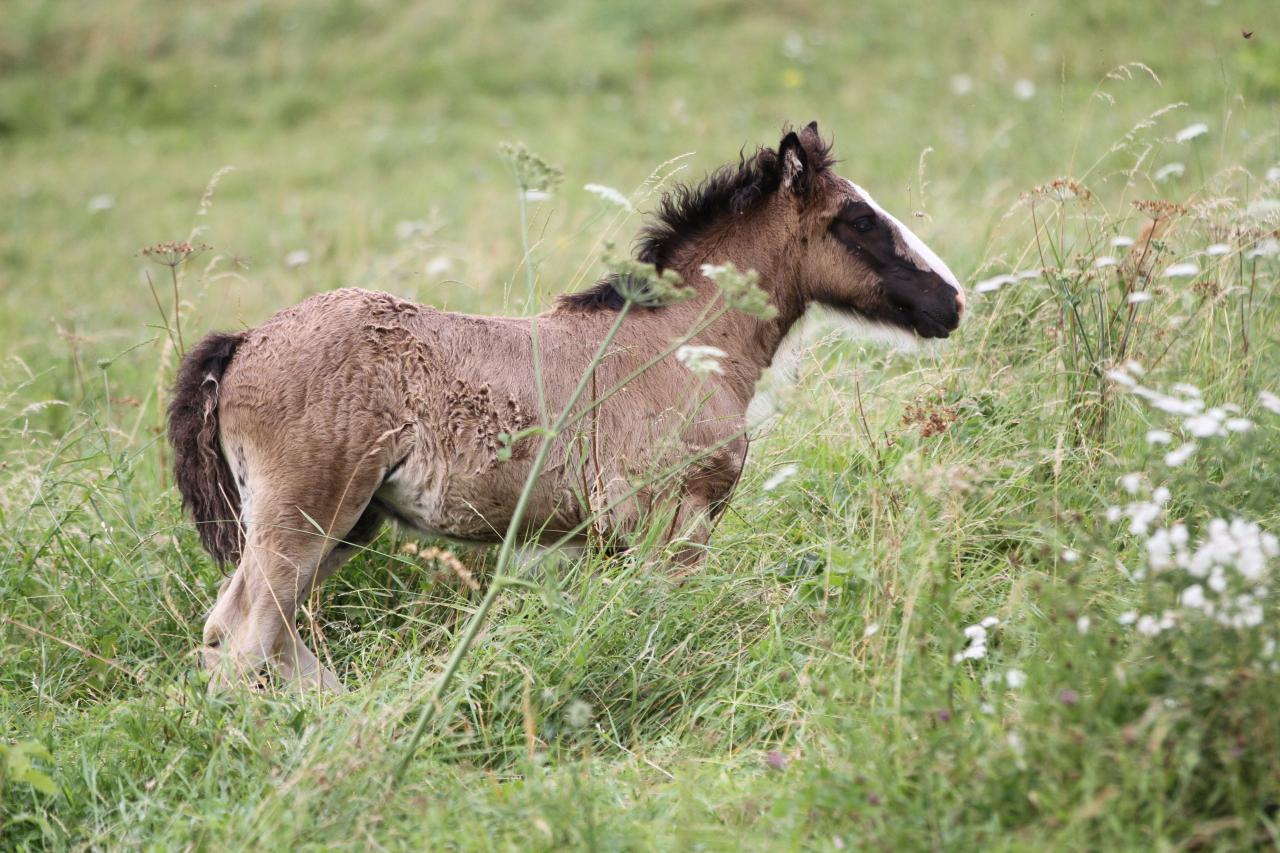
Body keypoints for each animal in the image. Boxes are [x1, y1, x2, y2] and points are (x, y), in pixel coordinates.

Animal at [175, 121, 962, 691]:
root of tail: (243, 342)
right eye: (858, 220)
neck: (679, 341)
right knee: (242, 639)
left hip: (343, 525)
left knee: (257, 637)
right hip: (304, 516)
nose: (950, 301)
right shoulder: (673, 525)